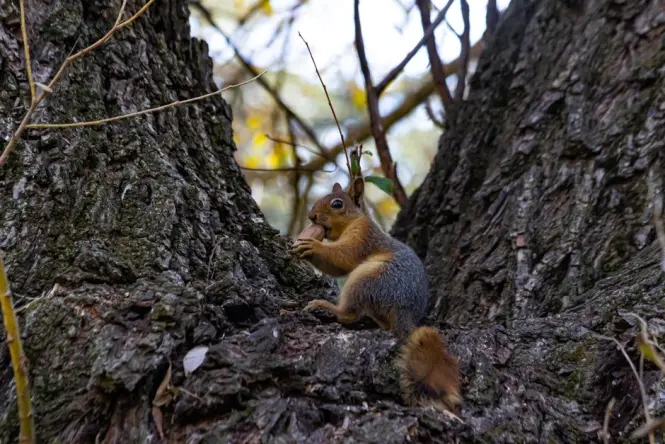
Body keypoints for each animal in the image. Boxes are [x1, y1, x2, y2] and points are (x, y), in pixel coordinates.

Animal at [291, 178, 461, 413]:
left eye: (337, 204)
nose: (311, 217)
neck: (356, 220)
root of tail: (404, 312)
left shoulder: (363, 236)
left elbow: (342, 257)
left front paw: (313, 246)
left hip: (368, 279)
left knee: (349, 314)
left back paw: (325, 306)